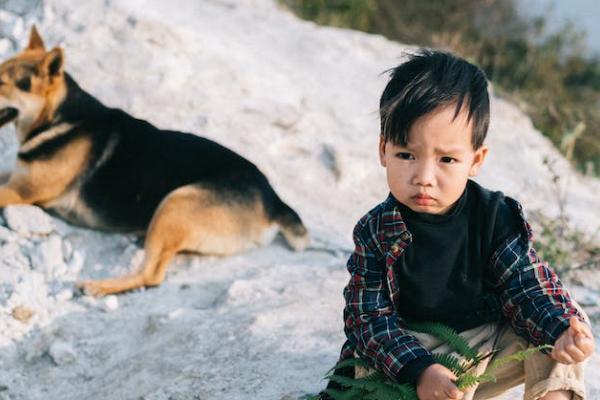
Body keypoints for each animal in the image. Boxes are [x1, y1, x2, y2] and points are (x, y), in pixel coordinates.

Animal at [0, 26, 310, 296]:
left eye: (3, 83)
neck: (57, 118)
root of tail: (274, 200)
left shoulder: (21, 192)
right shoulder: (15, 179)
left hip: (175, 203)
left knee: (152, 275)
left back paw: (100, 286)